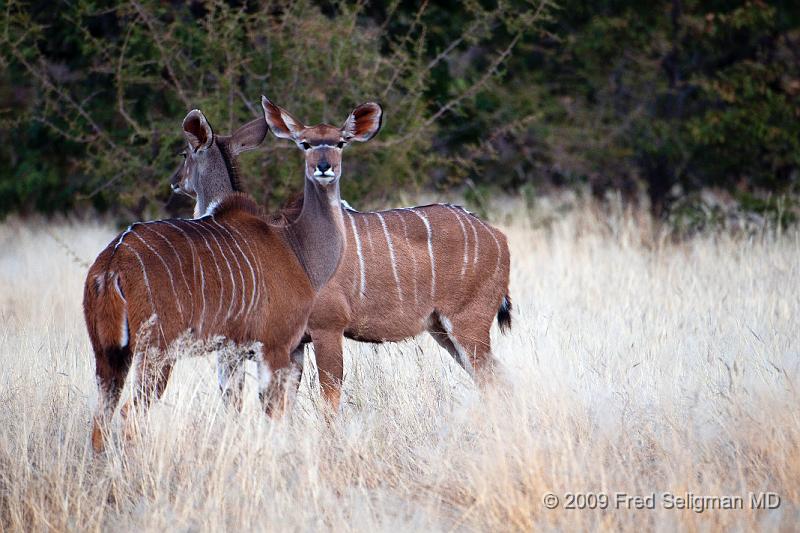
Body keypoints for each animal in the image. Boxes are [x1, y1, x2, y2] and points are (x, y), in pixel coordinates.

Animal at [83, 95, 382, 448]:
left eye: (340, 142)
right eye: (305, 143)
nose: (325, 167)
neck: (296, 247)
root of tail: (113, 261)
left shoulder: (240, 351)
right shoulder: (274, 344)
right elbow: (272, 411)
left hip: (109, 354)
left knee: (102, 415)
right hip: (157, 351)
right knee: (130, 412)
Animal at [175, 101, 512, 408]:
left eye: (185, 153)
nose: (175, 181)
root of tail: (497, 236)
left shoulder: (326, 328)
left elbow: (325, 397)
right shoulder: (292, 344)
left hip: (467, 323)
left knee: (493, 378)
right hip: (440, 328)